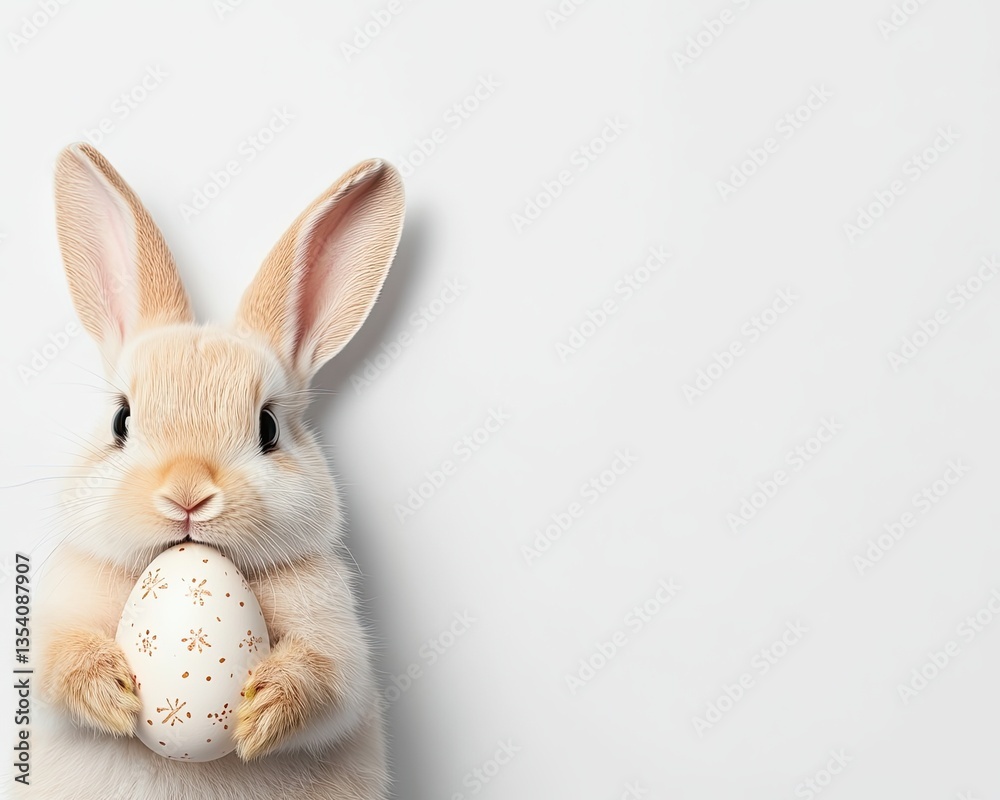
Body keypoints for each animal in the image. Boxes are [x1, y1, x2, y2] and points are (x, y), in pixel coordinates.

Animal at [29, 143, 404, 800]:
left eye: (269, 428)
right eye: (121, 420)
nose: (187, 495)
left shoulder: (337, 642)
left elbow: (327, 683)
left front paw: (262, 711)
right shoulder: (54, 624)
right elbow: (58, 664)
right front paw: (112, 695)